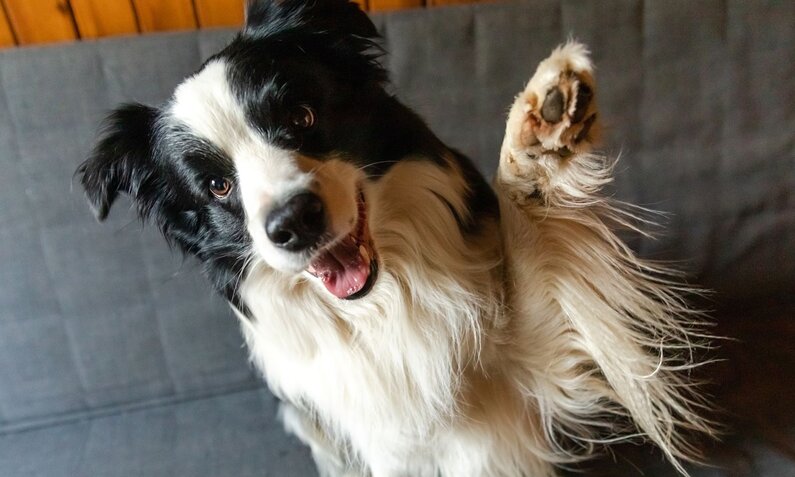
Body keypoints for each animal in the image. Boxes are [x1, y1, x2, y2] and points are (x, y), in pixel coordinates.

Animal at [79, 1, 716, 474]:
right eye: (216, 185)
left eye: (302, 117)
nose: (294, 223)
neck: (387, 300)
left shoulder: (526, 376)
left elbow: (531, 239)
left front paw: (542, 130)